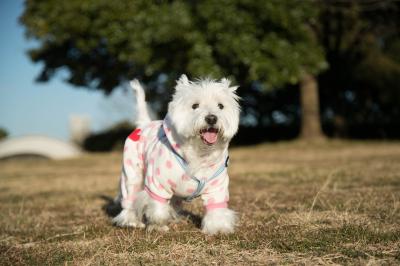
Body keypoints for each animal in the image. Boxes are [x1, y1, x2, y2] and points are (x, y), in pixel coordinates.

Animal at [111, 74, 239, 234]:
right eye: (195, 106)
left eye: (220, 106)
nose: (211, 118)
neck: (199, 153)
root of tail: (144, 125)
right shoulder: (157, 183)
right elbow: (157, 206)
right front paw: (158, 225)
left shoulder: (217, 188)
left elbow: (216, 209)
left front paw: (218, 228)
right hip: (132, 172)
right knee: (130, 195)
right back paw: (130, 220)